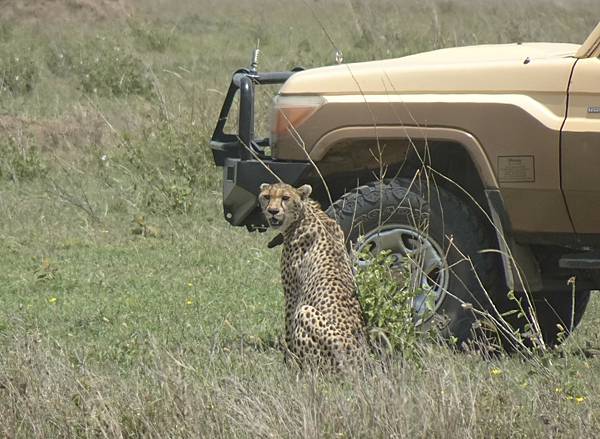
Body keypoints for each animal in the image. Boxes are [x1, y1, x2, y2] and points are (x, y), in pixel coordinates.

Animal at [256, 182, 366, 372]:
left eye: (285, 198)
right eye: (267, 196)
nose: (272, 211)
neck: (304, 213)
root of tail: (361, 364)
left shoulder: (292, 293)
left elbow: (289, 326)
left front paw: (289, 361)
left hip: (307, 313)